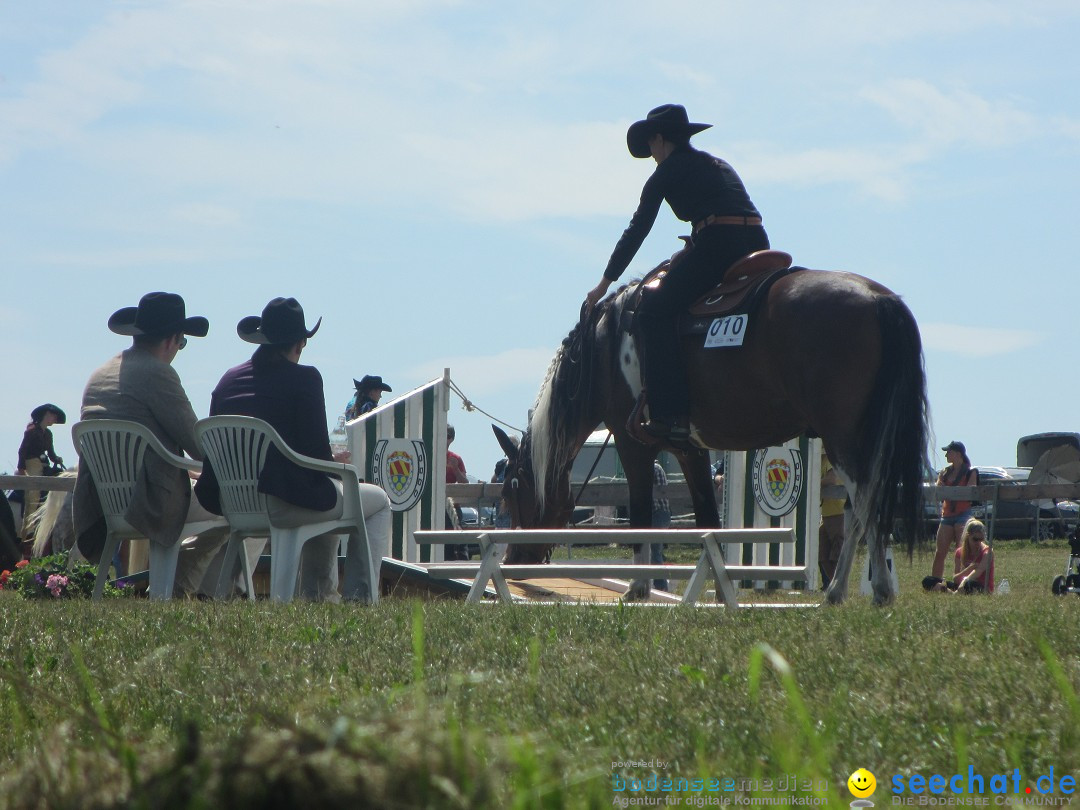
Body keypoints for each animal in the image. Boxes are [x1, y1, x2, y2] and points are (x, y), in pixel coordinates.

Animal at [494, 257, 928, 604]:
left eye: (512, 490)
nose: (513, 560)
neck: (605, 350)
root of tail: (878, 299)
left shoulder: (632, 443)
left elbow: (640, 514)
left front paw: (637, 587)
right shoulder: (690, 447)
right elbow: (707, 518)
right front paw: (720, 588)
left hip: (841, 437)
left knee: (866, 502)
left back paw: (862, 588)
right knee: (865, 506)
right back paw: (852, 590)